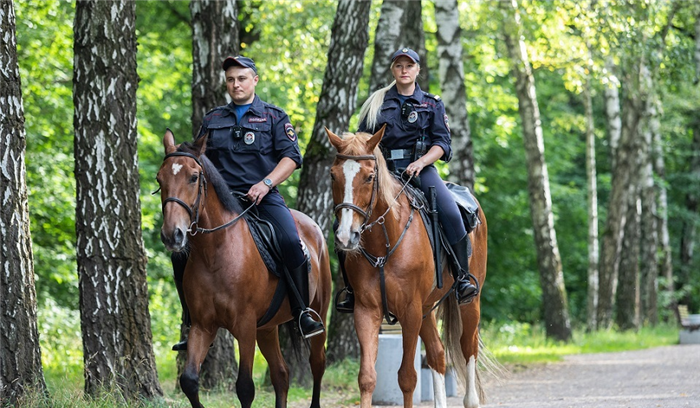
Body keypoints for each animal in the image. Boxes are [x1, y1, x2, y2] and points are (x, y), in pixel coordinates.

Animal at [157, 128, 332, 408]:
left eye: (194, 177)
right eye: (160, 179)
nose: (172, 235)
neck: (215, 253)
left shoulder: (245, 326)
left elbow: (245, 388)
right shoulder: (203, 326)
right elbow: (189, 381)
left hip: (317, 314)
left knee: (317, 364)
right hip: (267, 328)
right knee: (281, 374)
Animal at [326, 127, 486, 408]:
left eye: (369, 177)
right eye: (334, 175)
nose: (346, 236)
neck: (384, 243)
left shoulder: (410, 311)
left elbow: (407, 378)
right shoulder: (366, 311)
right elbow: (367, 377)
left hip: (468, 303)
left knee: (468, 347)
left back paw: (471, 400)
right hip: (427, 309)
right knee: (437, 354)